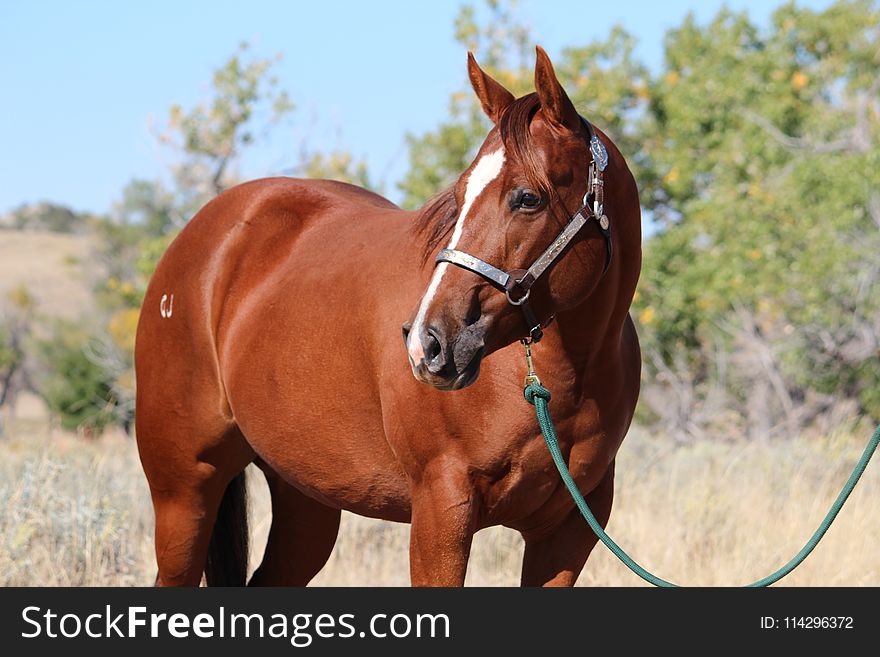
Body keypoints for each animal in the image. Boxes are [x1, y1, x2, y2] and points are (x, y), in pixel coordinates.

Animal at [138, 48, 644, 588]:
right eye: (459, 195)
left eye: (529, 197)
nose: (429, 342)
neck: (559, 379)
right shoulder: (441, 510)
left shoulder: (568, 532)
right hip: (184, 492)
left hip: (305, 499)